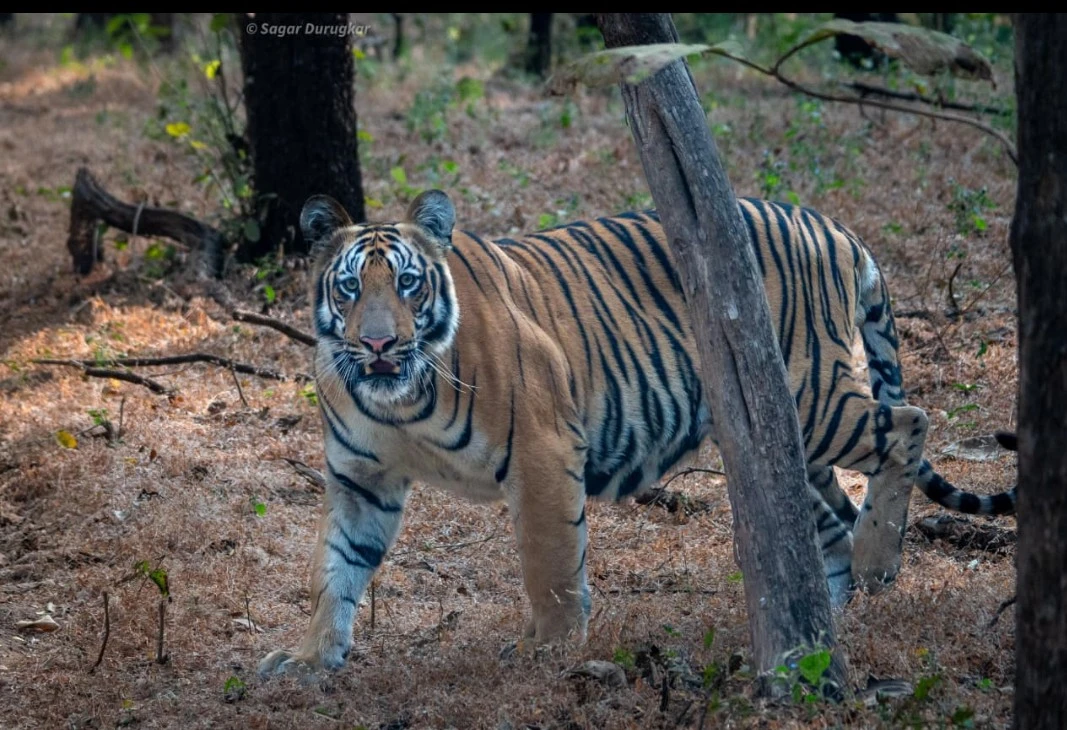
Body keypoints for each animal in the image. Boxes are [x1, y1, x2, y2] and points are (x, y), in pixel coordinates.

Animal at [258, 189, 1016, 678]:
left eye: (410, 285)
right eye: (351, 288)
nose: (378, 345)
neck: (396, 401)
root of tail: (830, 226)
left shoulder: (542, 452)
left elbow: (549, 565)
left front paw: (549, 650)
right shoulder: (361, 480)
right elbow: (334, 570)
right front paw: (308, 657)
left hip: (813, 400)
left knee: (908, 425)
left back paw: (875, 564)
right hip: (781, 433)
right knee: (828, 523)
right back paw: (818, 622)